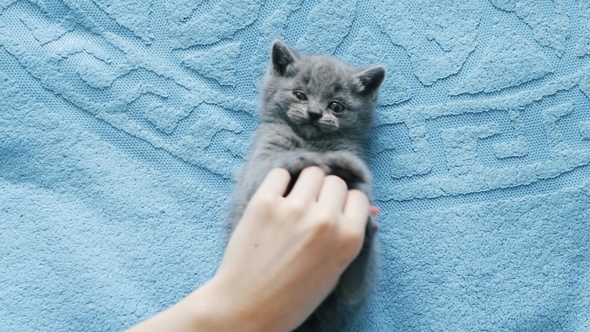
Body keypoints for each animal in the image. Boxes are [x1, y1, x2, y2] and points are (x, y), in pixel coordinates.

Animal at [234, 39, 386, 332]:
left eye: (336, 106)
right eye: (299, 95)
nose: (315, 113)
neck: (310, 142)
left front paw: (346, 166)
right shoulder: (257, 167)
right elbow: (270, 167)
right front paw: (300, 159)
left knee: (353, 289)